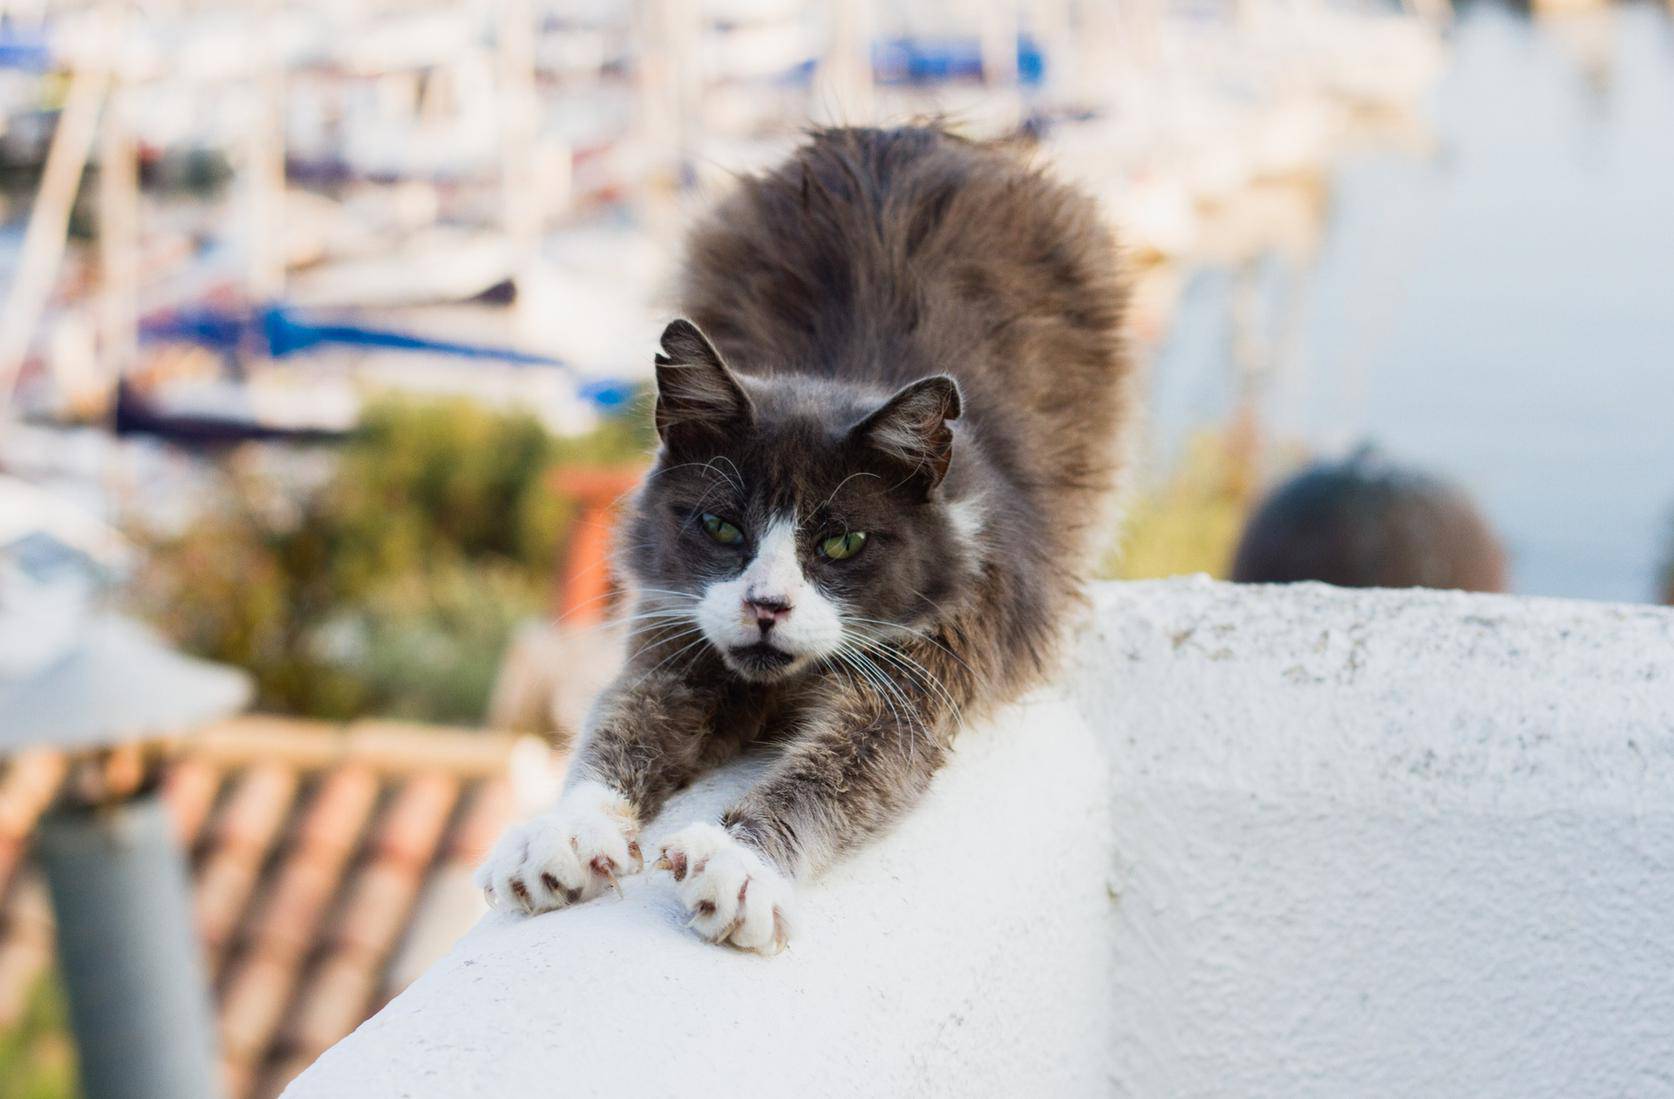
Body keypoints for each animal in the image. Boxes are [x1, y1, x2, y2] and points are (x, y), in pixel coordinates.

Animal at [475, 126, 1124, 950]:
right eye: (721, 525)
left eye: (842, 543)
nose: (767, 605)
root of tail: (907, 131)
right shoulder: (674, 647)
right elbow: (617, 728)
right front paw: (564, 834)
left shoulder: (914, 683)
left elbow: (830, 779)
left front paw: (743, 863)